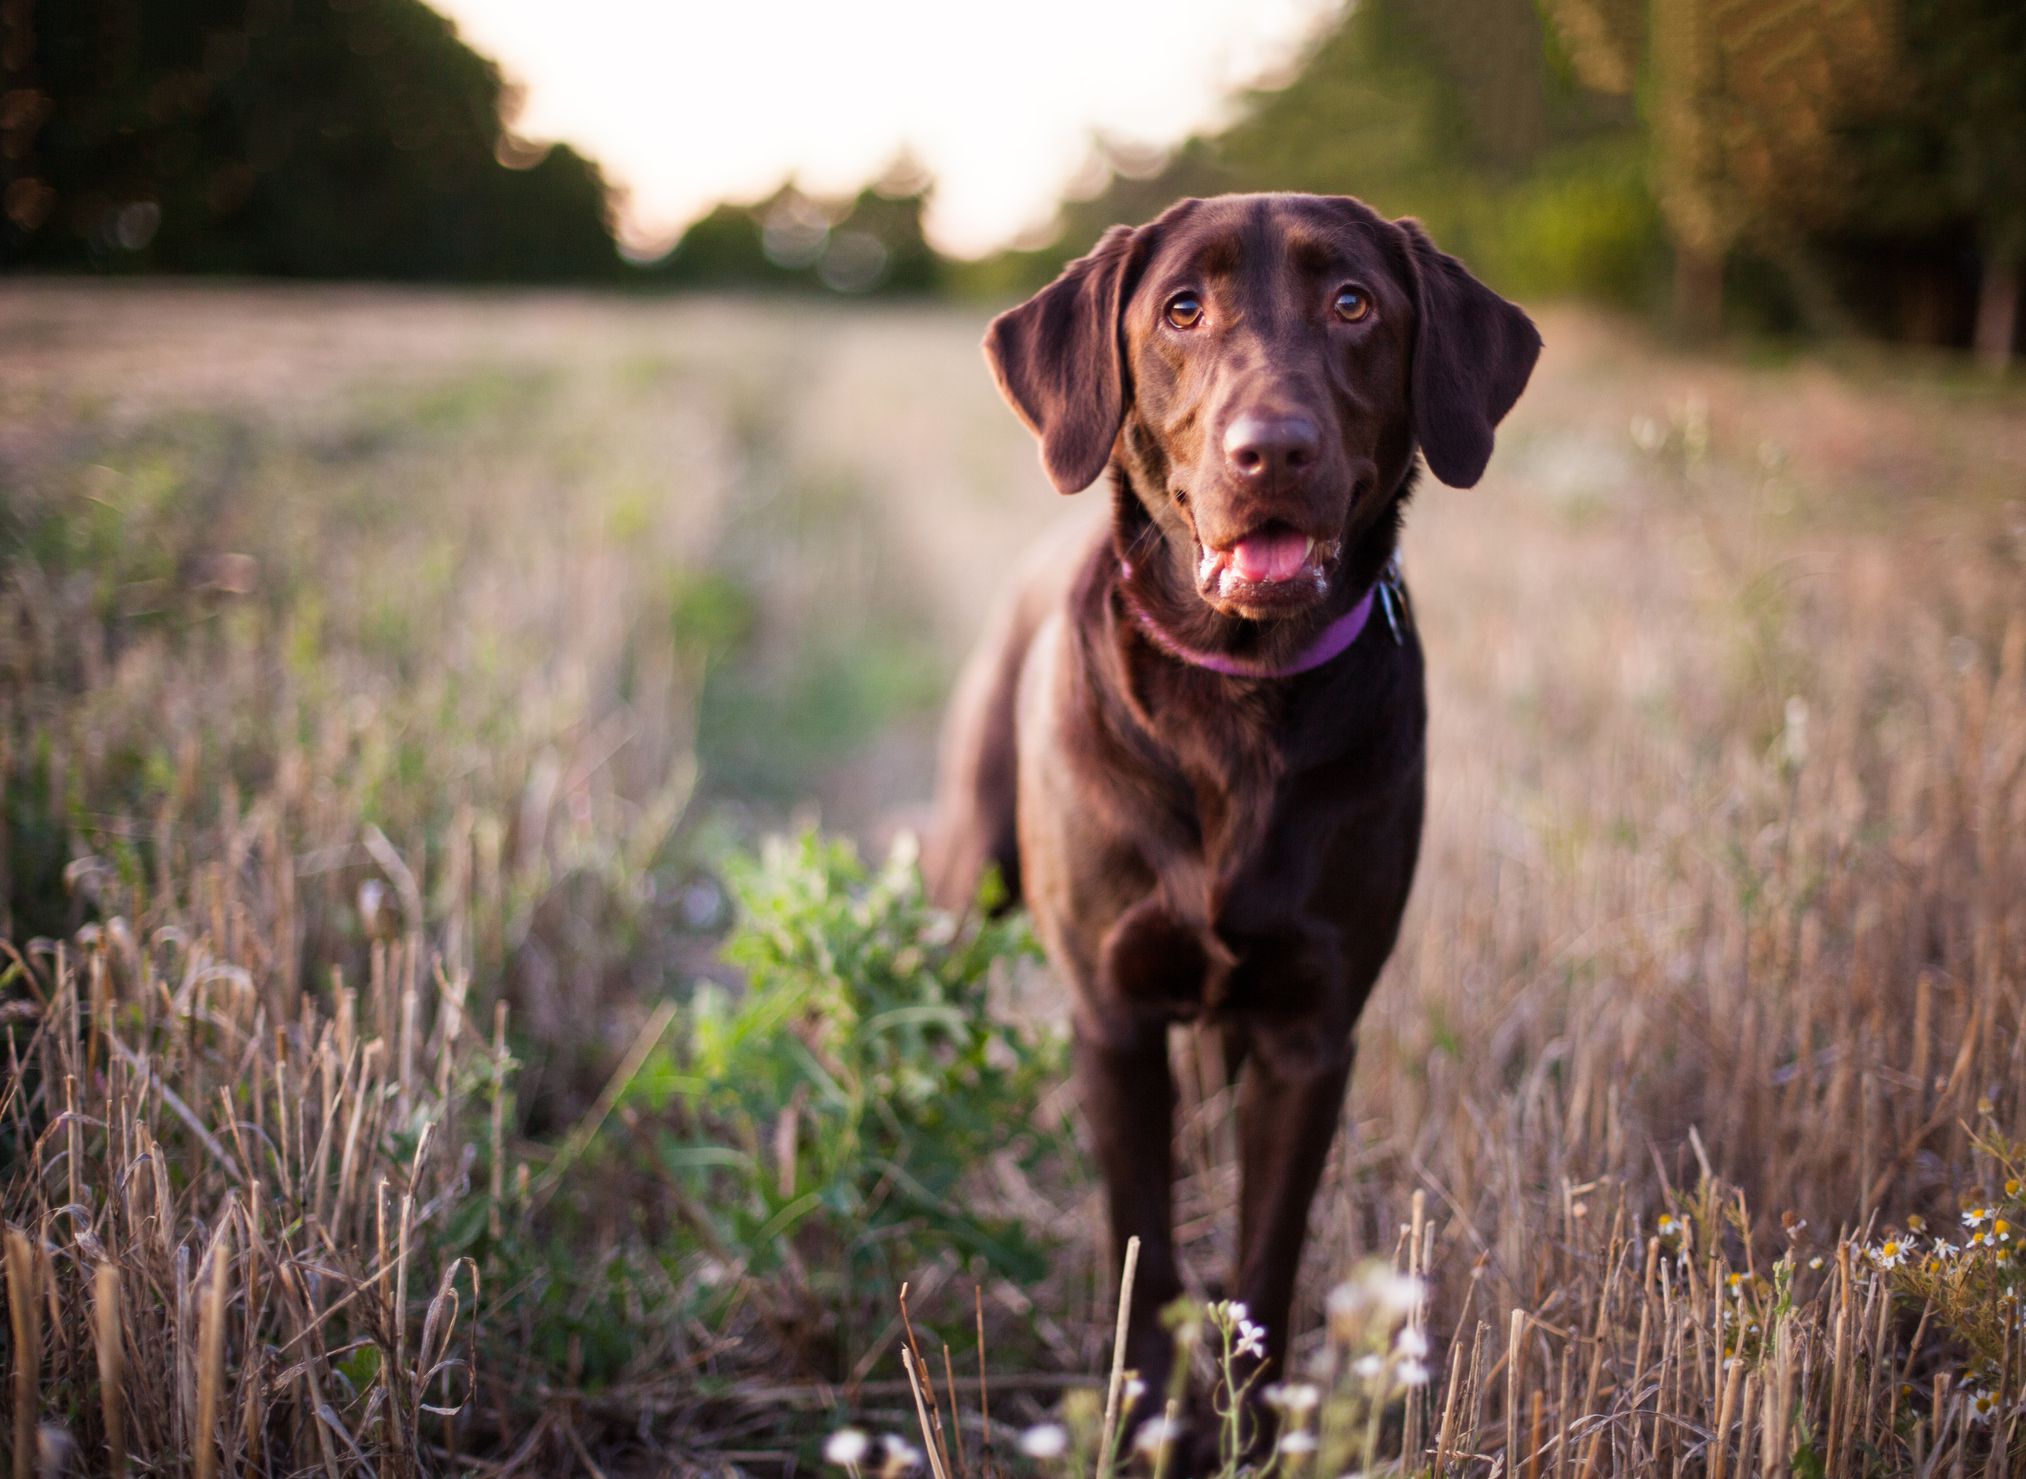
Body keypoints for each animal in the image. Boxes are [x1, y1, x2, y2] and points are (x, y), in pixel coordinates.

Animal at [927, 195, 1531, 1426]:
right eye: (1180, 309)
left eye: (1352, 302)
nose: (1274, 449)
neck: (1238, 703)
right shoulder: (1111, 1017)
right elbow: (1142, 1242)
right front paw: (1151, 1419)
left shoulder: (1311, 1029)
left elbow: (1267, 1257)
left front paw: (1255, 1427)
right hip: (971, 870)